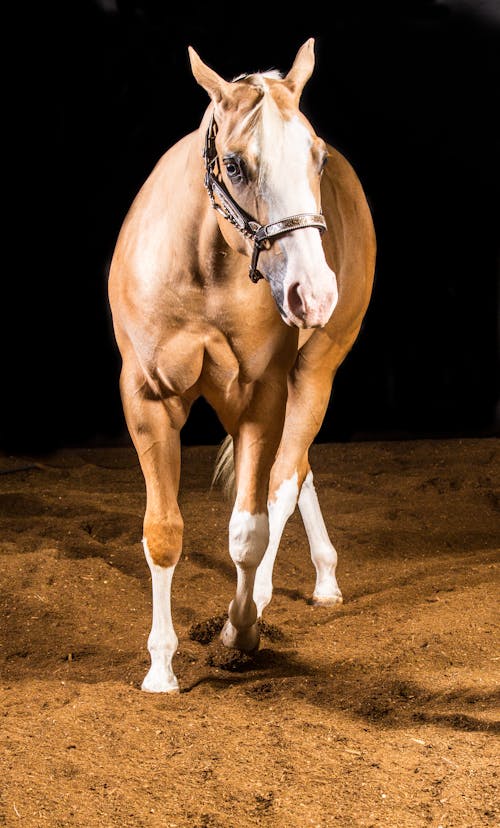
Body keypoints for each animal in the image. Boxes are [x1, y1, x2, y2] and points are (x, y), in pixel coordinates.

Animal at [108, 37, 376, 692]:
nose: (316, 293)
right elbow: (163, 532)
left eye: (317, 157)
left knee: (284, 479)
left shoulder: (263, 394)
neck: (206, 267)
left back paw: (278, 594)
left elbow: (249, 529)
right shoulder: (147, 398)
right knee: (296, 470)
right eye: (233, 165)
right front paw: (160, 668)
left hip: (314, 375)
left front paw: (240, 630)